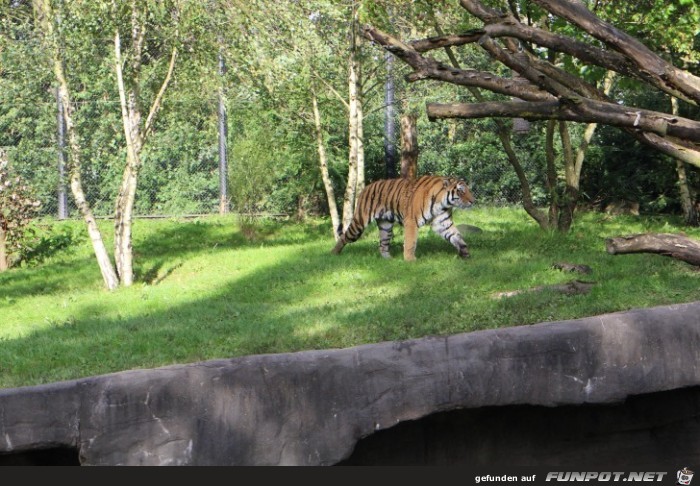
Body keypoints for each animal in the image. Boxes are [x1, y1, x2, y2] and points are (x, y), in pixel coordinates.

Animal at [330, 176, 474, 262]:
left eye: (468, 190)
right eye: (461, 191)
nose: (473, 201)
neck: (443, 203)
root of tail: (366, 187)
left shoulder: (443, 222)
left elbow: (456, 236)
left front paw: (465, 253)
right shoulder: (411, 222)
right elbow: (410, 242)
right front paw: (410, 260)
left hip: (386, 226)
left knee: (382, 244)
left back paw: (388, 259)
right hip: (359, 224)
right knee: (344, 237)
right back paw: (333, 254)